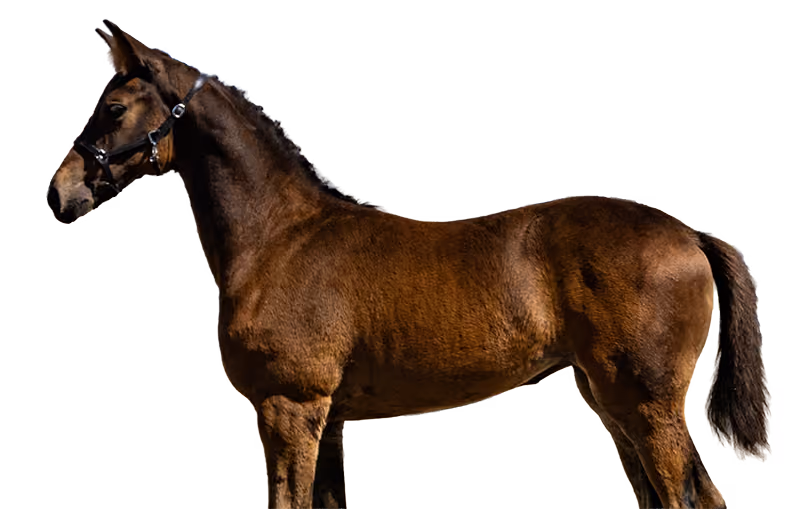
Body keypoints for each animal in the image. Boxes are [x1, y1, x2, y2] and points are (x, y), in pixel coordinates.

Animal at [47, 20, 770, 509]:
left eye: (114, 108)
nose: (61, 192)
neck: (281, 239)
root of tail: (689, 233)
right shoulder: (328, 419)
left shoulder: (289, 408)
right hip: (612, 401)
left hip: (646, 404)